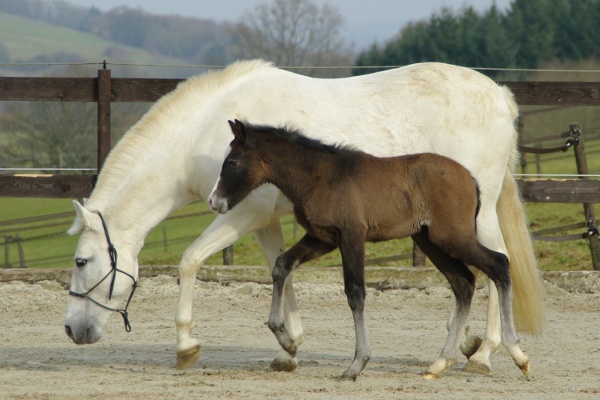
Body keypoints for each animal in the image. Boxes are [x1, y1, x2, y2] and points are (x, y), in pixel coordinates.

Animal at [64, 59, 544, 376]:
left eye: (81, 261)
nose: (72, 330)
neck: (199, 135)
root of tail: (500, 95)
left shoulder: (244, 212)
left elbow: (190, 261)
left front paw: (186, 345)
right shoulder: (267, 220)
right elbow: (280, 268)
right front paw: (288, 344)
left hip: (470, 220)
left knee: (497, 266)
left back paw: (486, 354)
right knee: (477, 275)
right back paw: (465, 345)